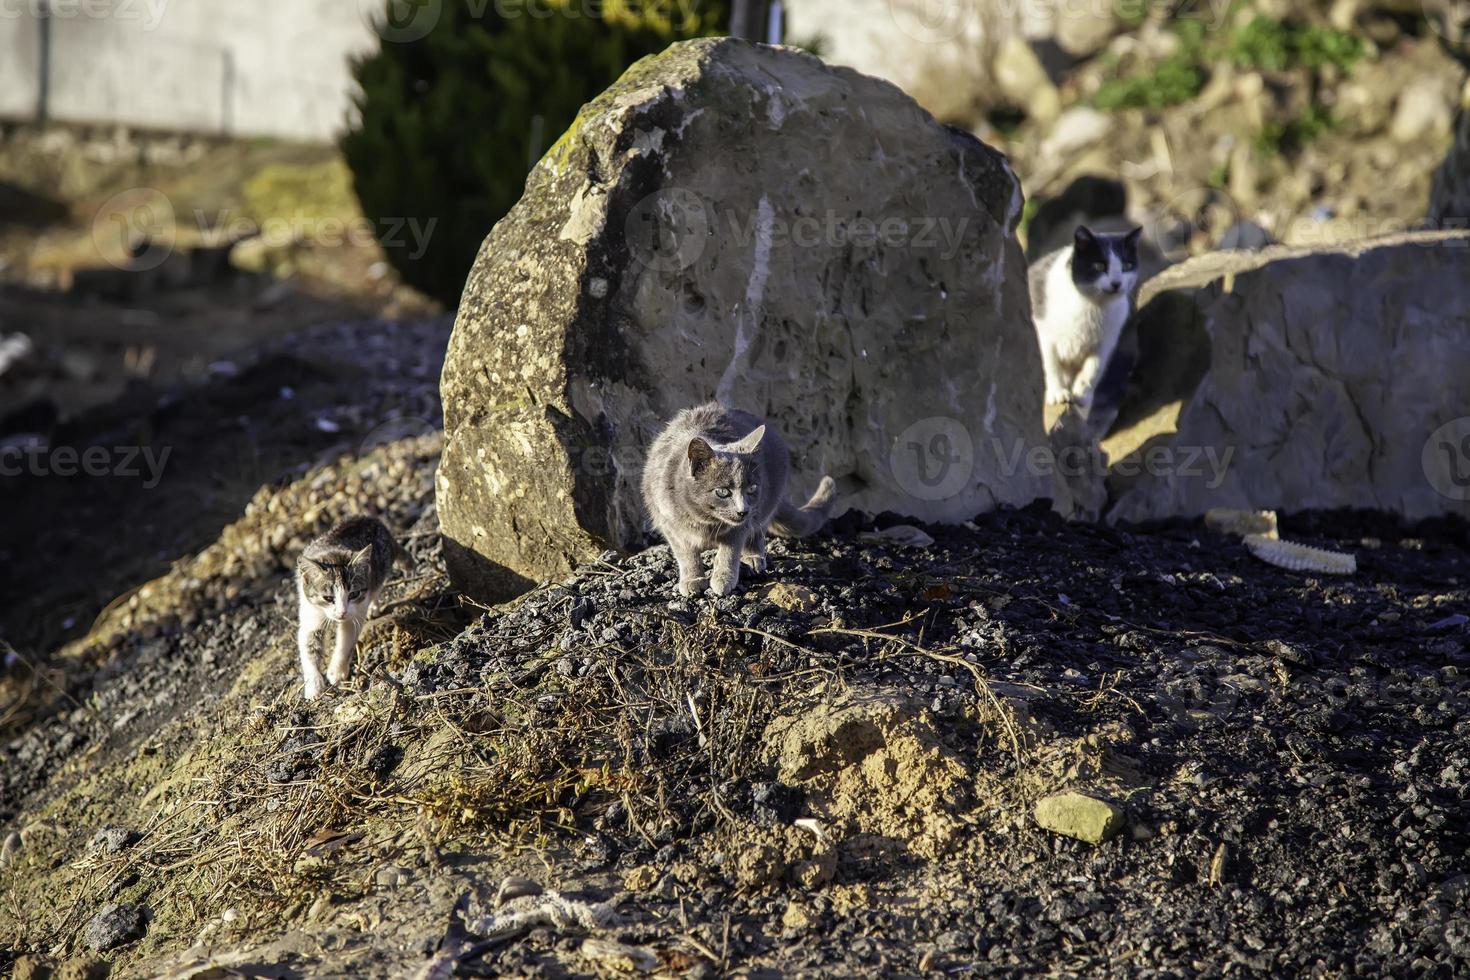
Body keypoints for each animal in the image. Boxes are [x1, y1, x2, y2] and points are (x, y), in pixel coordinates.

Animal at [295, 517, 408, 702]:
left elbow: (346, 641)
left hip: (378, 573)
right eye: (328, 598)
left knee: (375, 590)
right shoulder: (310, 613)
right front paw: (314, 687)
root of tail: (372, 519)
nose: (341, 612)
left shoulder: (356, 612)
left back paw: (374, 608)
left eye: (354, 594)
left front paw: (337, 671)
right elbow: (309, 648)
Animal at [643, 399, 840, 599]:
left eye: (752, 488)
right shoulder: (669, 523)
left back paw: (753, 558)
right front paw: (693, 579)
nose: (742, 510)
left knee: (758, 531)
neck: (705, 521)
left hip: (766, 504)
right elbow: (686, 554)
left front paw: (723, 579)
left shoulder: (741, 526)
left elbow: (730, 550)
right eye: (722, 492)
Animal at [1029, 226, 1140, 417]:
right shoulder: (1043, 333)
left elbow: (1094, 368)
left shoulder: (1106, 341)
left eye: (1127, 266)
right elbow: (1050, 364)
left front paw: (1082, 395)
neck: (1093, 307)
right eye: (1099, 266)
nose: (1116, 283)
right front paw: (1058, 393)